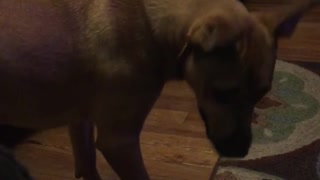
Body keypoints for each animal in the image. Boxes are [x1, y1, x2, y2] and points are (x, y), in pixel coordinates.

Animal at [0, 0, 316, 179]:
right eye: (223, 94)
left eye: (262, 94)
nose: (239, 151)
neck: (150, 23)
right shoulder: (120, 143)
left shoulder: (80, 120)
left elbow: (87, 164)